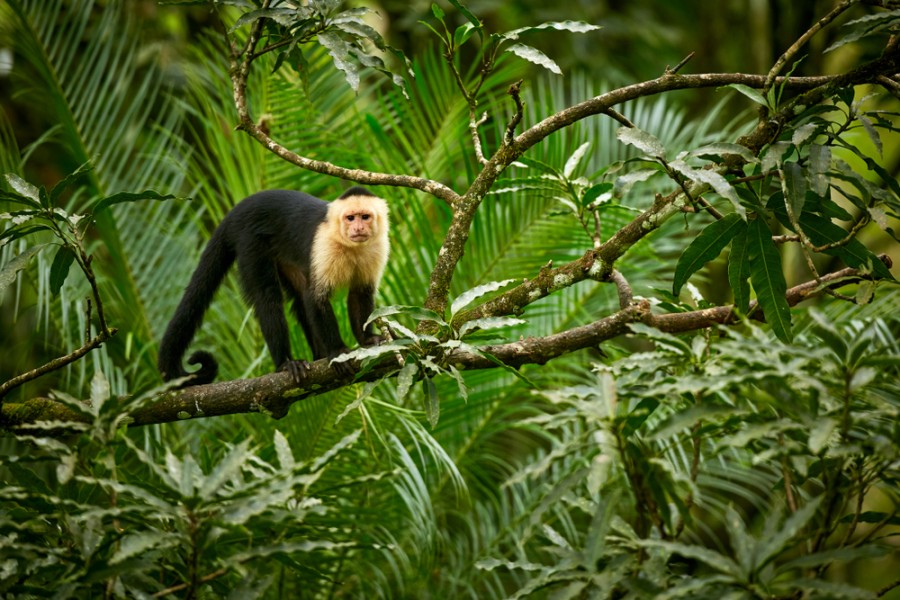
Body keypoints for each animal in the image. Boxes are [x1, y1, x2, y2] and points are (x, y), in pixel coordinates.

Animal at [156, 185, 388, 386]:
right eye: (350, 218)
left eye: (365, 217)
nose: (358, 227)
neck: (348, 245)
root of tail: (239, 209)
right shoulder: (324, 245)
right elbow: (316, 297)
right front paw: (337, 351)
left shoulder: (377, 247)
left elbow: (360, 293)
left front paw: (367, 339)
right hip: (251, 241)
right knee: (268, 297)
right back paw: (286, 363)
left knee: (299, 296)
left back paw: (318, 355)